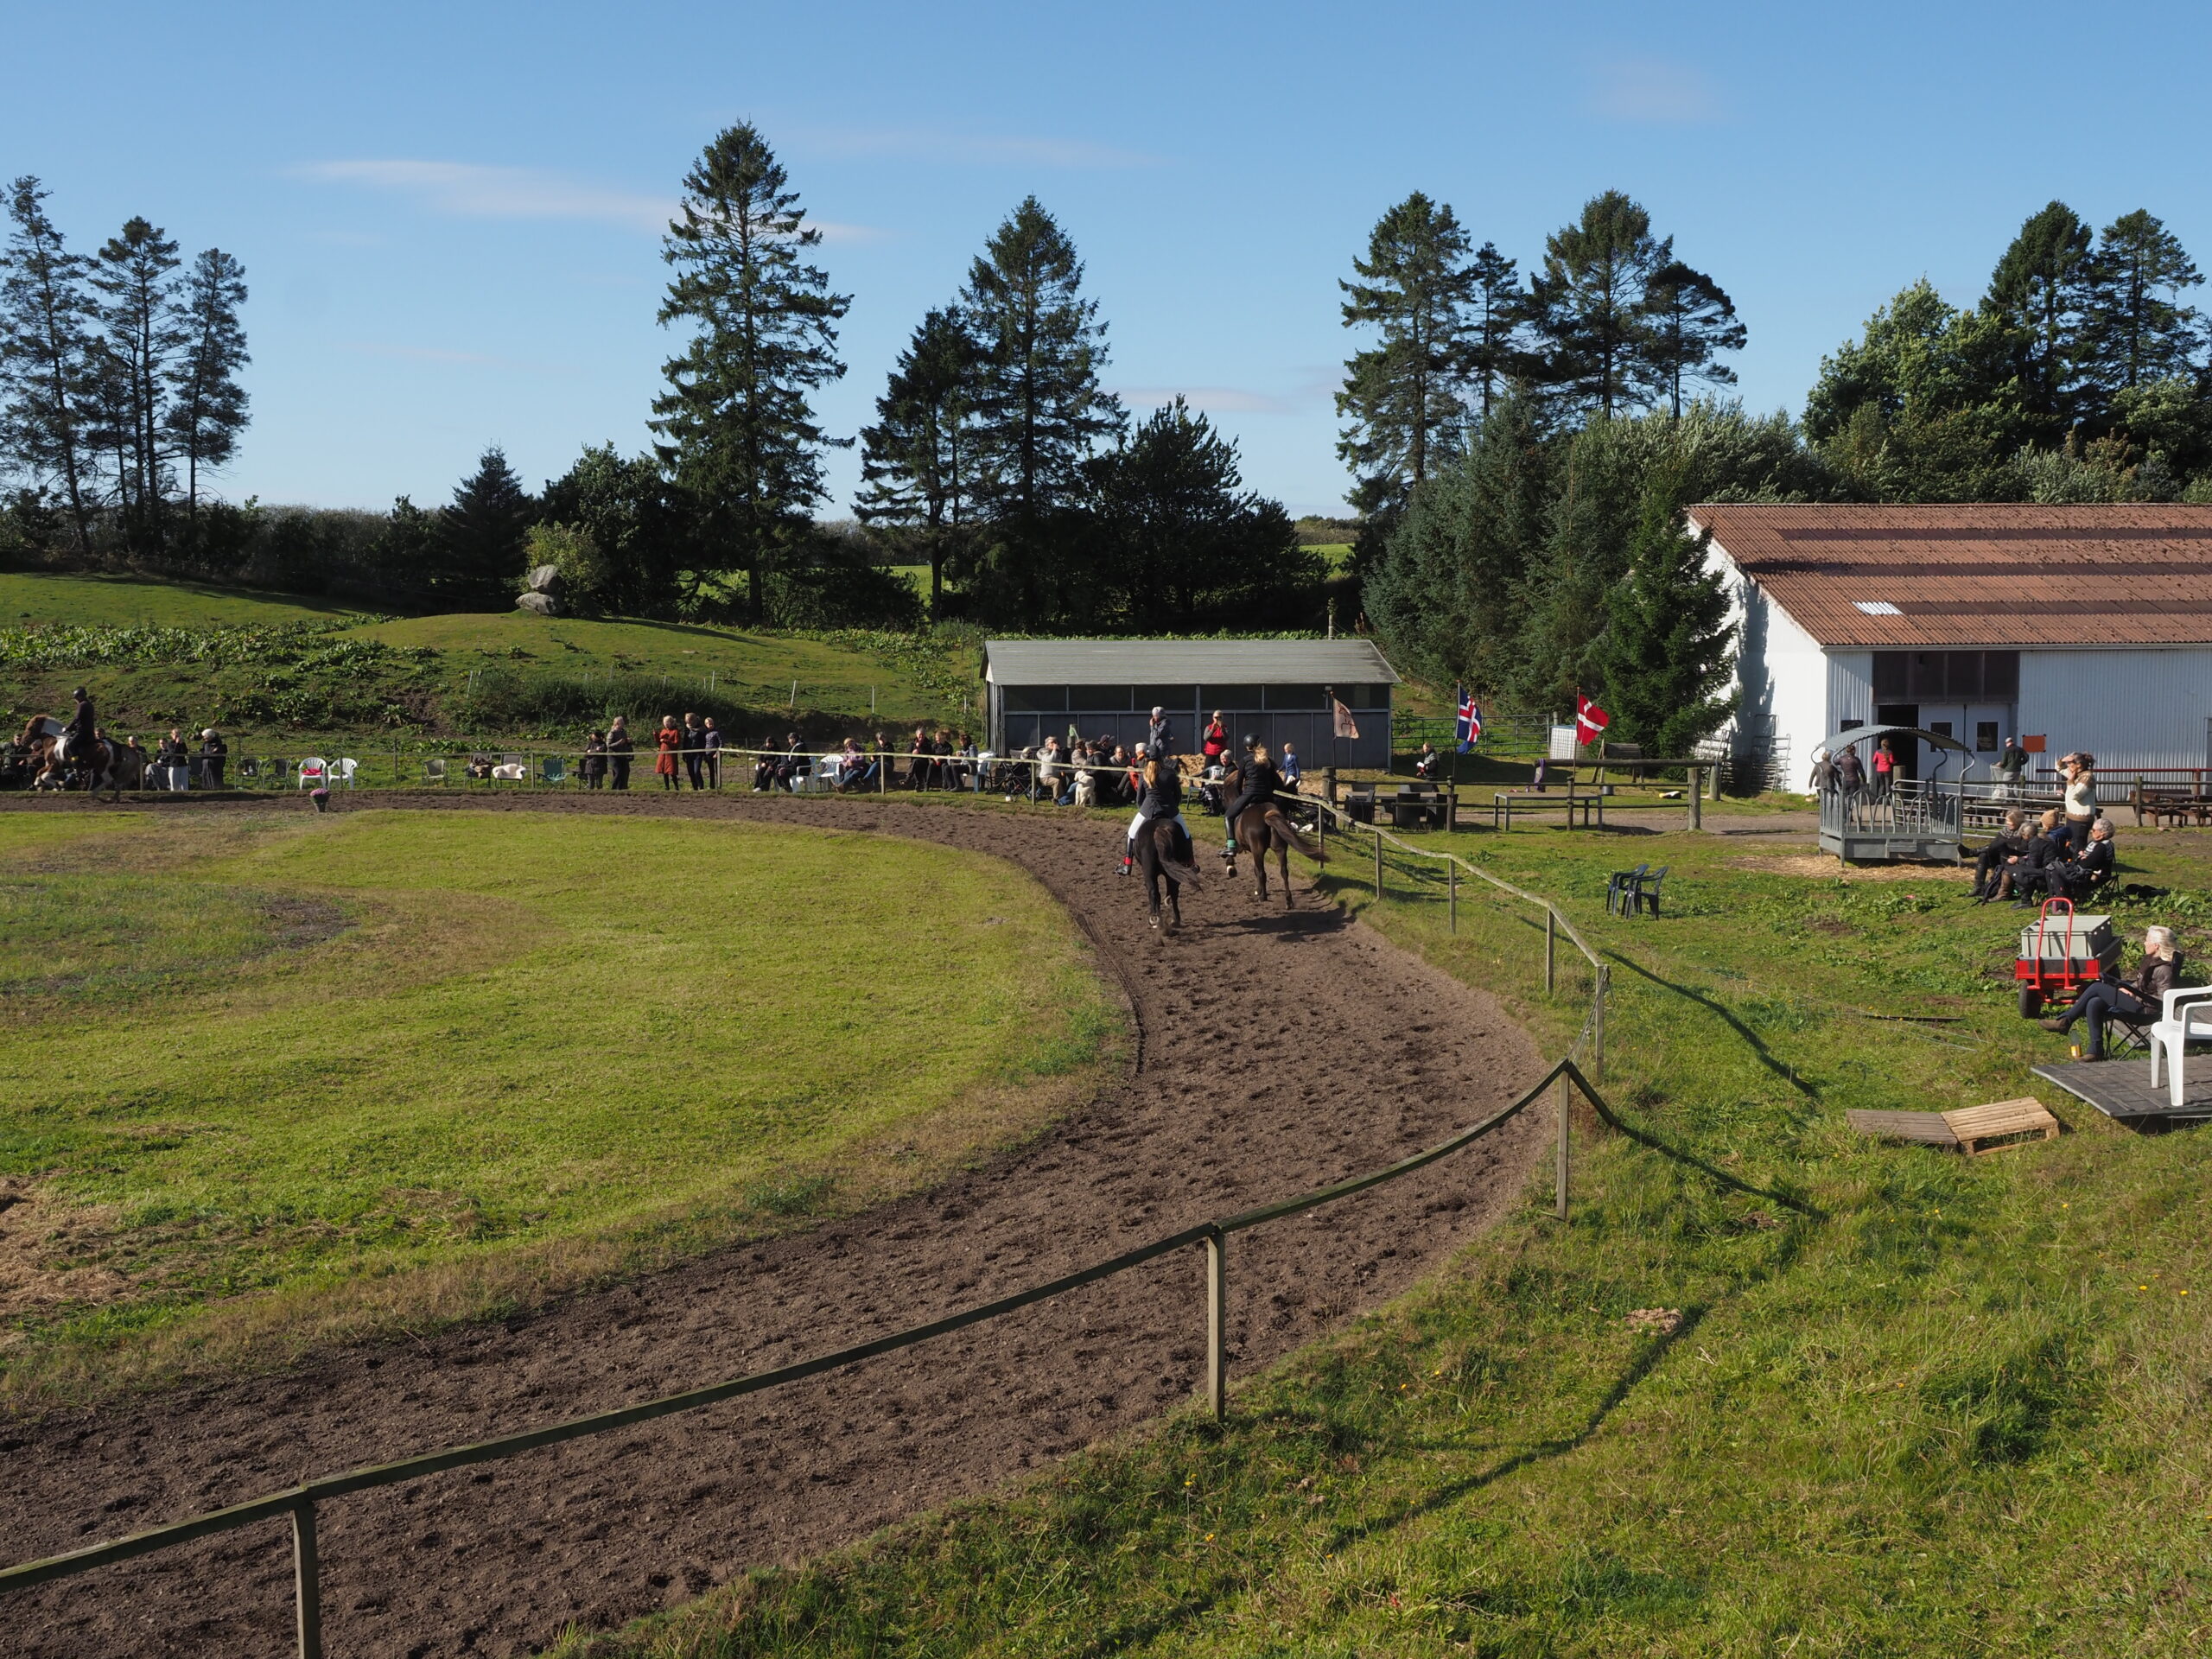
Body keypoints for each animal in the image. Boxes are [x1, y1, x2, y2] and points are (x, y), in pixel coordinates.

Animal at [1132, 815, 1203, 934]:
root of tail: (1160, 829)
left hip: (1150, 872)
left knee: (1155, 892)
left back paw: (1157, 920)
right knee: (1171, 892)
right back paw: (1172, 920)